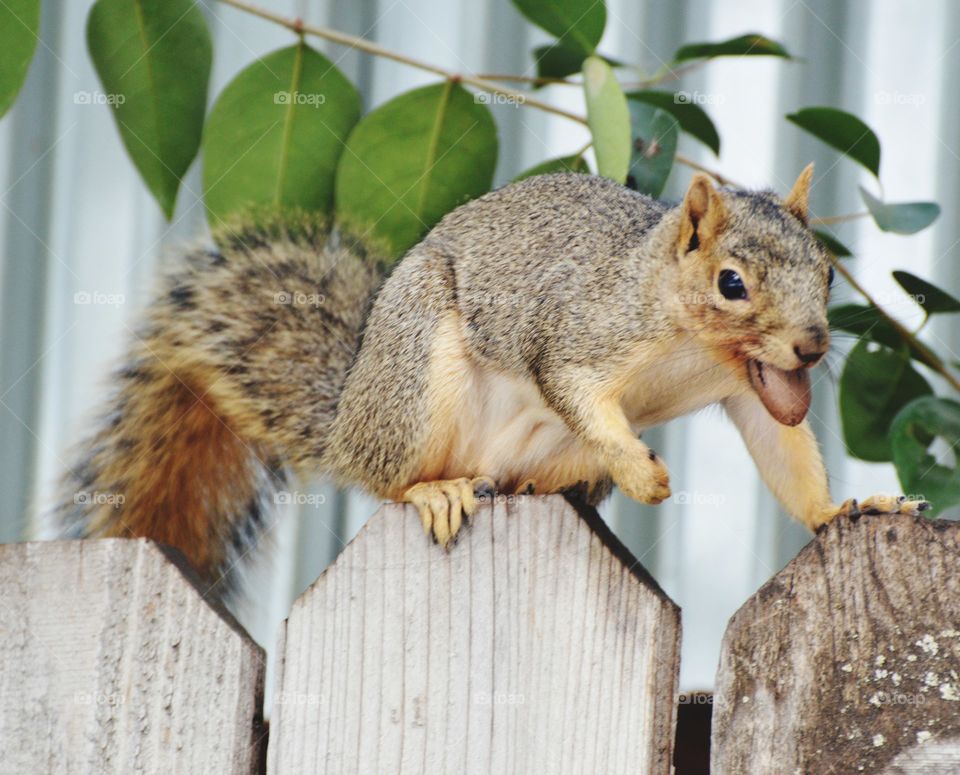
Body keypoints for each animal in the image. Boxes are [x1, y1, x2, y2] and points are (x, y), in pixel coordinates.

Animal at [50, 166, 928, 594]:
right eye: (732, 283)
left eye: (828, 272)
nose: (811, 348)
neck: (692, 343)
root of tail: (347, 421)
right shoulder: (576, 336)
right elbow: (577, 393)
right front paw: (641, 469)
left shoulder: (752, 390)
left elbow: (785, 454)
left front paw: (846, 507)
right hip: (416, 378)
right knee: (389, 477)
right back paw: (434, 488)